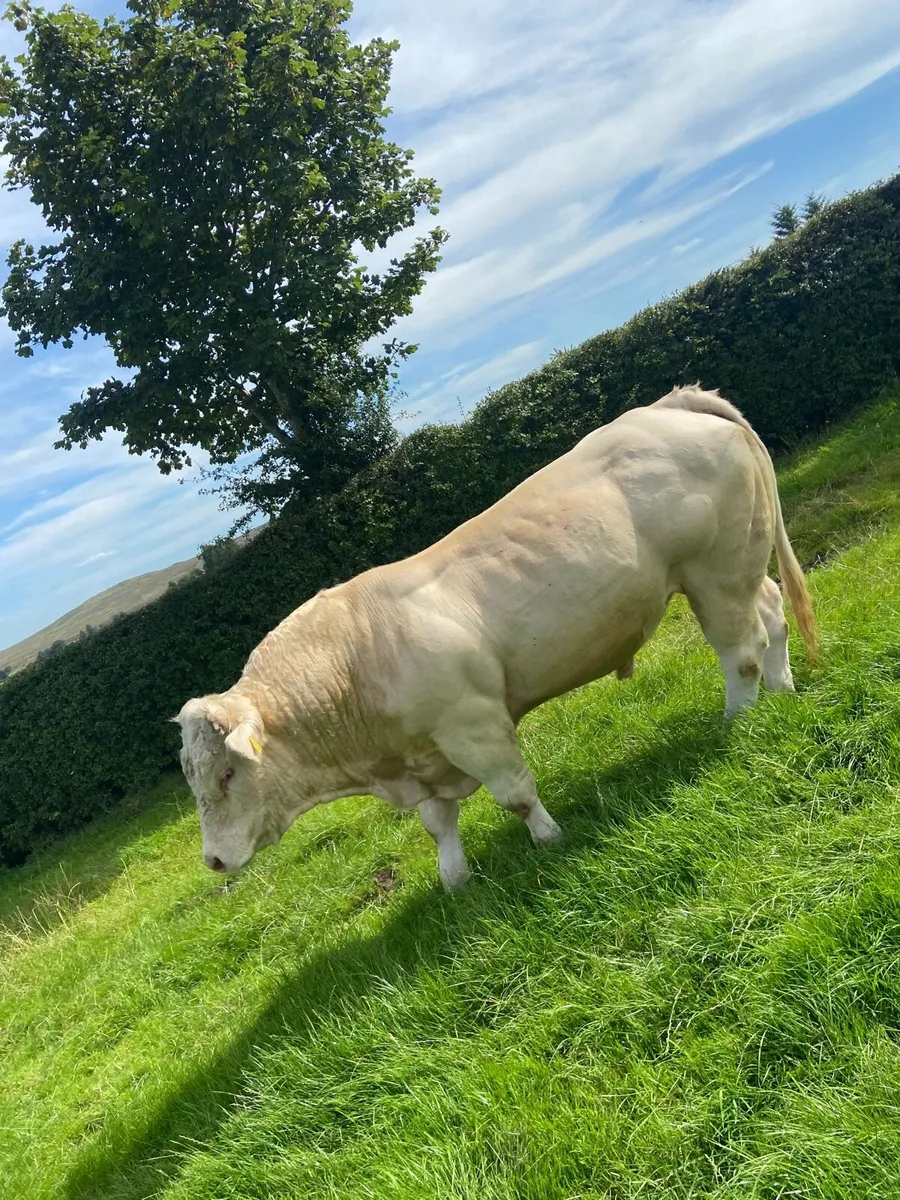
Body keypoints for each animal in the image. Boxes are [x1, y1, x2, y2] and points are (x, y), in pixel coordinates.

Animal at [176, 386, 818, 889]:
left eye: (227, 774)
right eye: (194, 778)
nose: (212, 860)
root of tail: (668, 405)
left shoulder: (473, 725)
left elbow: (515, 793)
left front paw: (550, 838)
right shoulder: (424, 756)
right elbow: (439, 826)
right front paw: (454, 882)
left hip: (715, 570)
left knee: (742, 652)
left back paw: (737, 721)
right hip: (739, 562)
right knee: (773, 614)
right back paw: (784, 692)